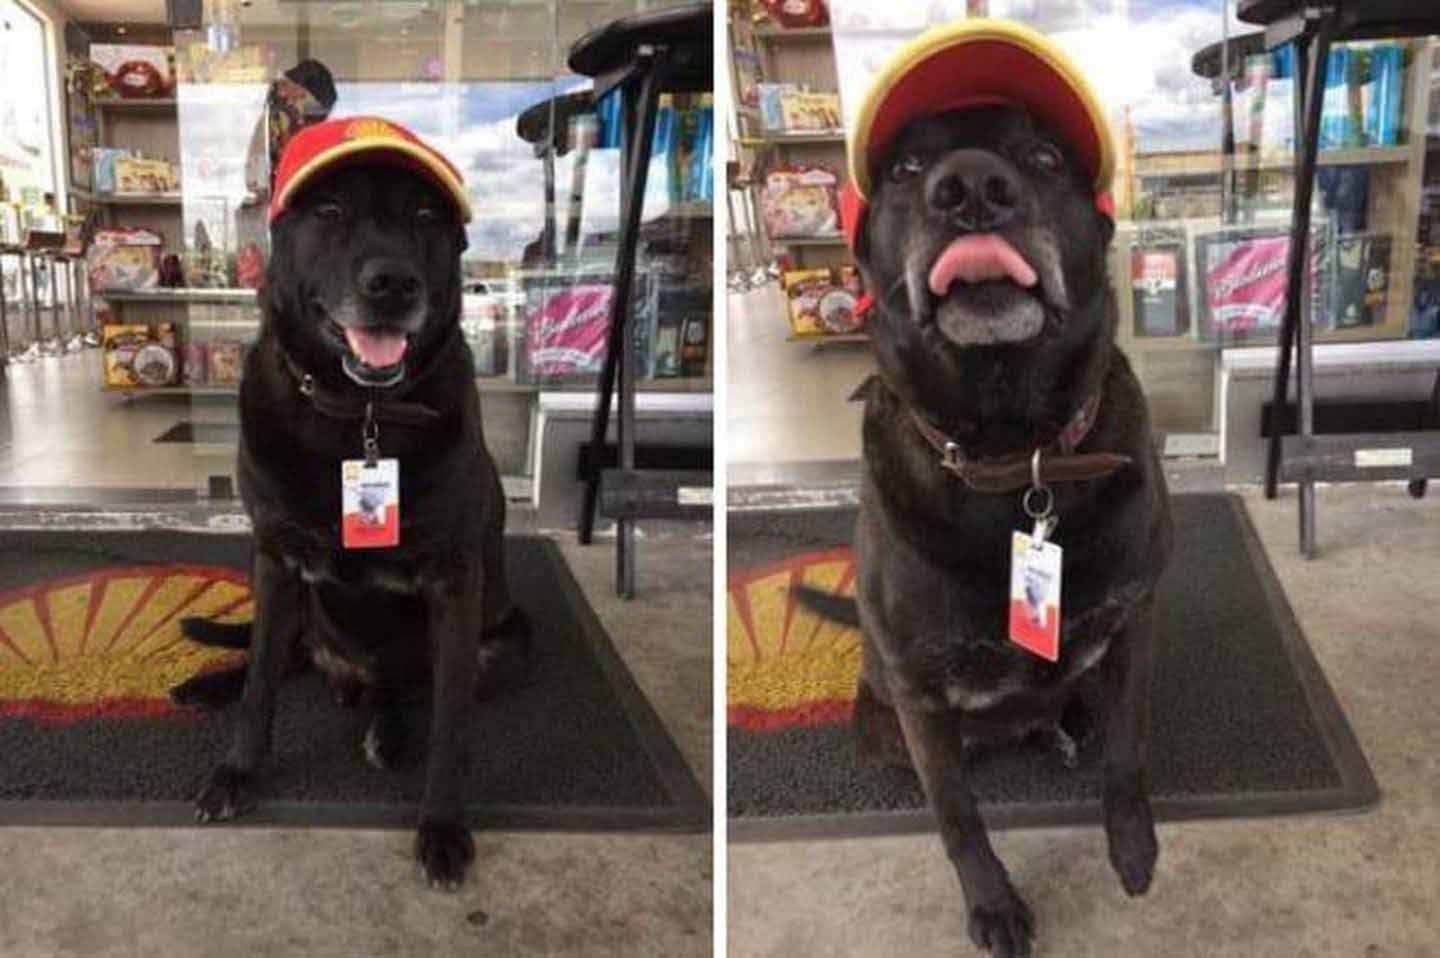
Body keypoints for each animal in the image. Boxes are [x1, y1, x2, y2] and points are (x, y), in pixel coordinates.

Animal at [187, 160, 529, 887]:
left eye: (426, 216)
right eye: (330, 210)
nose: (392, 284)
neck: (359, 415)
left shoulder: (455, 585)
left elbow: (450, 724)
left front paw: (442, 826)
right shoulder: (274, 561)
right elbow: (260, 684)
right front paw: (237, 771)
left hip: (500, 641)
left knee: (402, 687)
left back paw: (385, 729)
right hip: (299, 611)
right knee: (281, 657)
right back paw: (207, 685)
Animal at [823, 100, 1169, 950]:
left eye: (1044, 157)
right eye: (906, 169)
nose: (972, 186)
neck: (1016, 457)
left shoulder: (1135, 623)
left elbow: (1127, 751)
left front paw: (1132, 846)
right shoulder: (920, 698)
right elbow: (957, 816)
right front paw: (993, 904)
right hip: (882, 724)